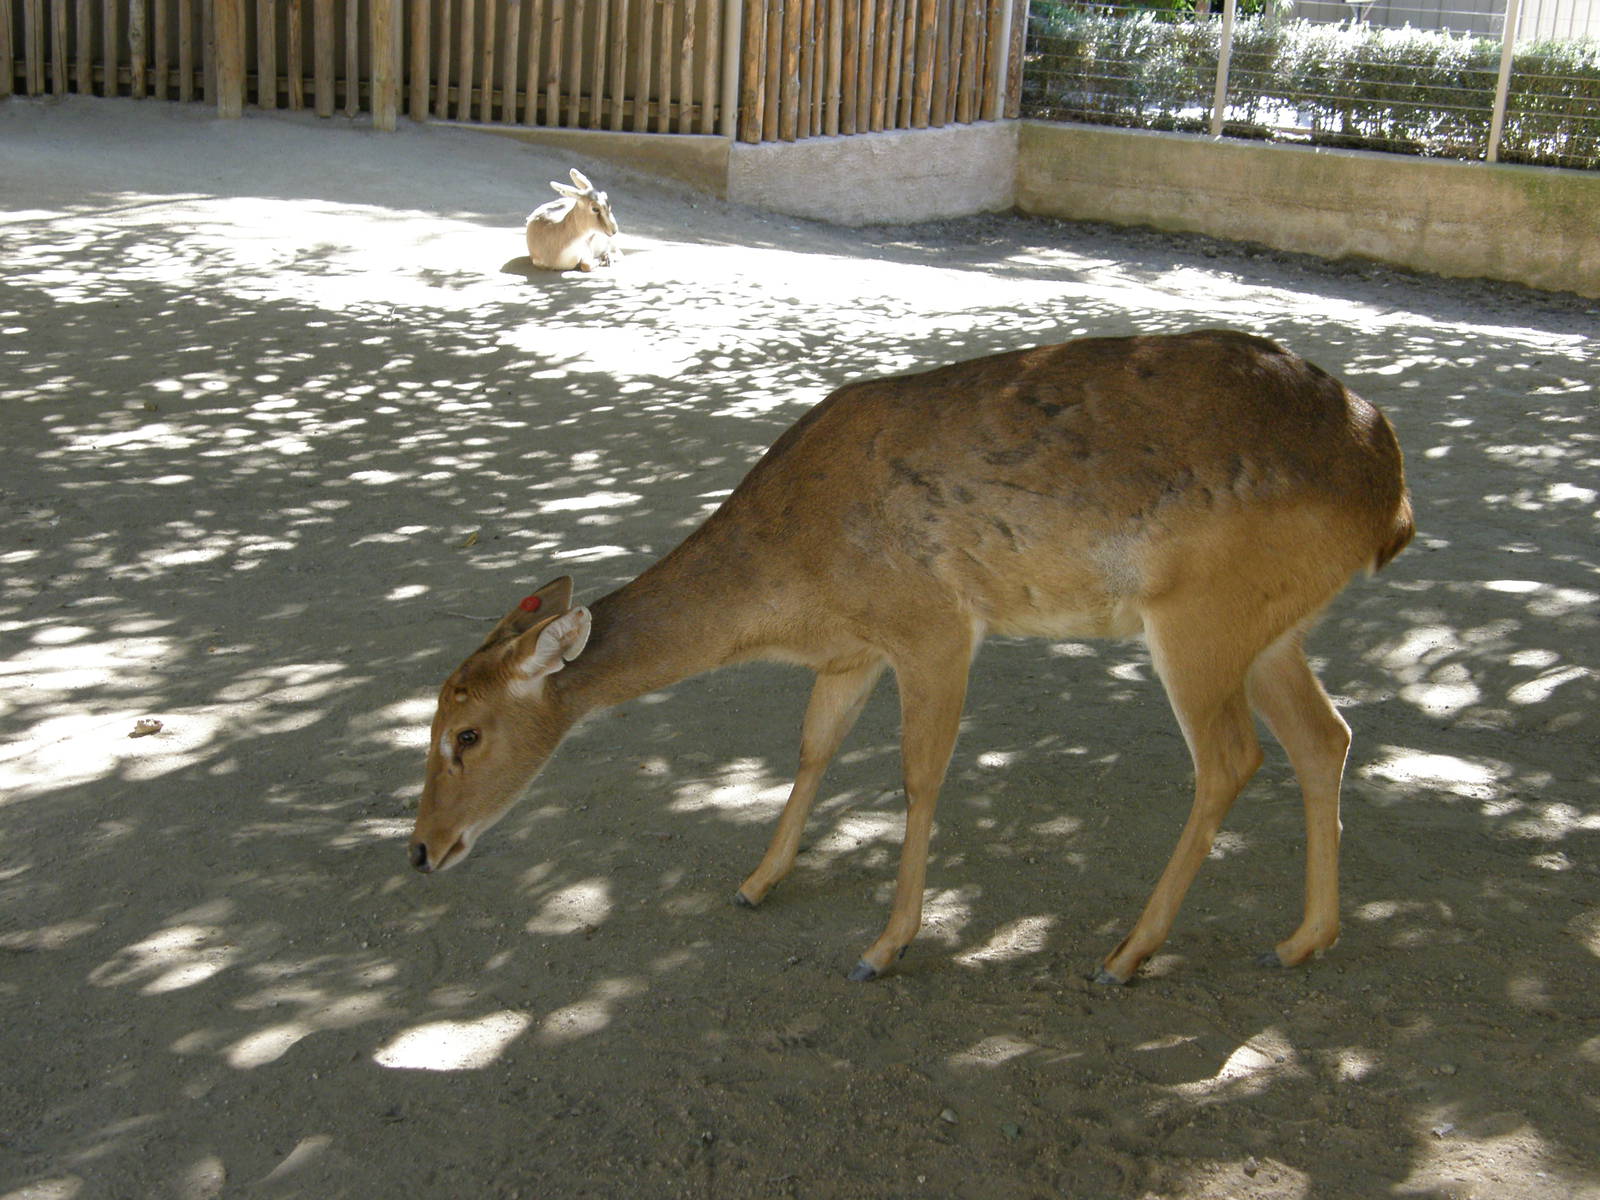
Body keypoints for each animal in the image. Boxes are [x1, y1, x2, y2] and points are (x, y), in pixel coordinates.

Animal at [408, 330, 1414, 985]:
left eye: (466, 733)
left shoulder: (933, 625)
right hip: (1271, 626)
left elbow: (917, 773)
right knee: (1325, 736)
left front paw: (884, 947)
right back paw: (1302, 939)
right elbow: (813, 746)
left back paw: (1128, 953)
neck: (791, 582)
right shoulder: (854, 649)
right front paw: (757, 882)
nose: (421, 850)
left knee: (1231, 757)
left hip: (1200, 615)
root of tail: (1391, 499)